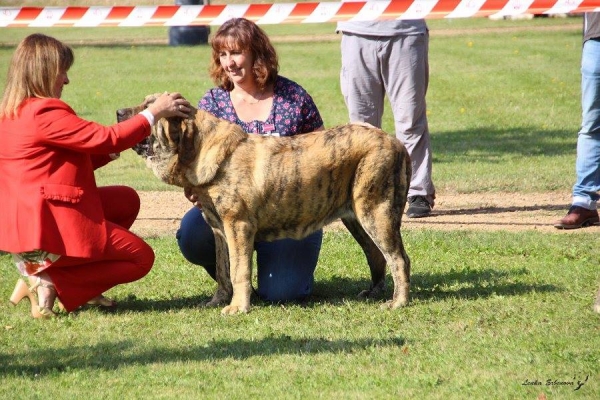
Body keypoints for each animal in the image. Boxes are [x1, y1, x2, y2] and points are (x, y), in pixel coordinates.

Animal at [119, 95, 414, 314]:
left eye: (149, 107)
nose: (119, 111)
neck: (200, 150)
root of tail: (396, 143)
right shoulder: (219, 229)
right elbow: (224, 269)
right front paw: (218, 301)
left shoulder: (238, 226)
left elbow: (239, 270)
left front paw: (238, 307)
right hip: (356, 218)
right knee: (377, 255)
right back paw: (374, 292)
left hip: (375, 211)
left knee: (399, 258)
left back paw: (398, 302)